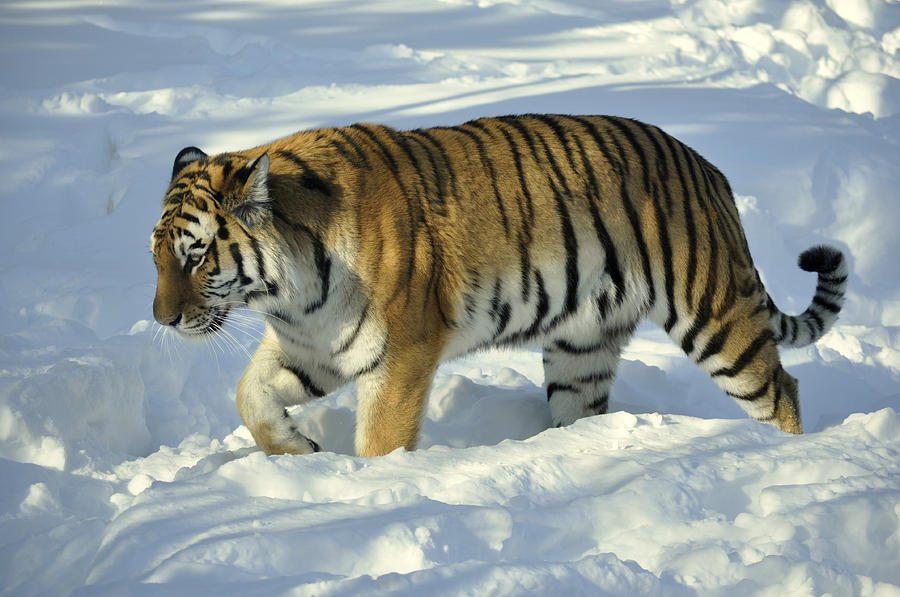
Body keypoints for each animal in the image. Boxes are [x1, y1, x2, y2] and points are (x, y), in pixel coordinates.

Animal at [151, 114, 848, 454]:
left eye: (195, 257)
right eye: (155, 258)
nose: (161, 320)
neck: (290, 292)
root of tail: (709, 170)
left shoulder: (399, 355)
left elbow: (381, 441)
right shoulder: (313, 346)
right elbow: (249, 396)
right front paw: (296, 452)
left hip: (712, 313)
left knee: (779, 388)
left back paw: (784, 458)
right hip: (581, 348)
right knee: (582, 407)